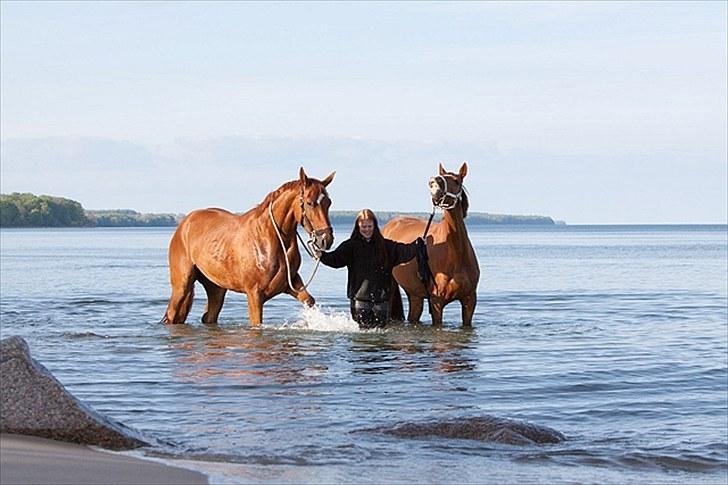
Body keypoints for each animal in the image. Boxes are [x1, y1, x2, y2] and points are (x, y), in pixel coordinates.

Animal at [162, 167, 336, 326]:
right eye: (310, 203)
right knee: (172, 314)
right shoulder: (254, 294)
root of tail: (184, 224)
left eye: (328, 203)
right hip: (182, 285)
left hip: (216, 288)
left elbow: (309, 300)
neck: (270, 238)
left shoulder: (291, 283)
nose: (325, 240)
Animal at [382, 163, 478, 326]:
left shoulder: (469, 301)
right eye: (442, 176)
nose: (434, 182)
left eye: (457, 181)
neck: (457, 255)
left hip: (414, 294)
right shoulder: (437, 303)